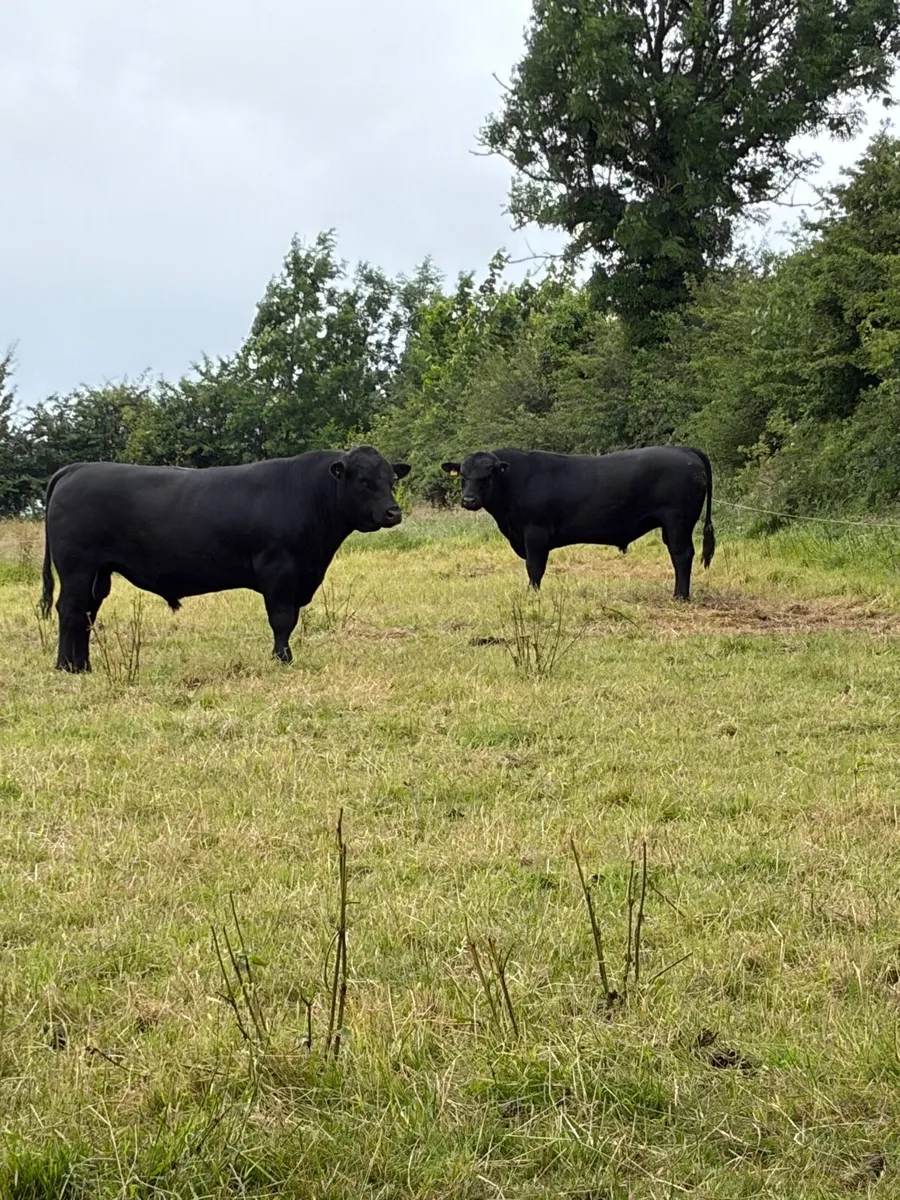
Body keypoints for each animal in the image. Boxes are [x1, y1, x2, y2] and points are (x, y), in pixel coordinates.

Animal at [40, 446, 410, 672]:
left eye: (391, 480)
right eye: (363, 481)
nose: (393, 512)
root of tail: (77, 468)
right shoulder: (279, 570)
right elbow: (282, 619)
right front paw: (282, 659)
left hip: (97, 574)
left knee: (86, 614)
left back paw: (82, 666)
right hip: (77, 568)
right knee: (69, 610)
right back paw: (66, 667)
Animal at [441, 446, 714, 600]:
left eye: (487, 476)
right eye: (463, 476)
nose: (469, 500)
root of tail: (684, 451)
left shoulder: (535, 533)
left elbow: (534, 567)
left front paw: (532, 594)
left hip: (678, 522)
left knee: (682, 554)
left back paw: (680, 596)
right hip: (671, 526)